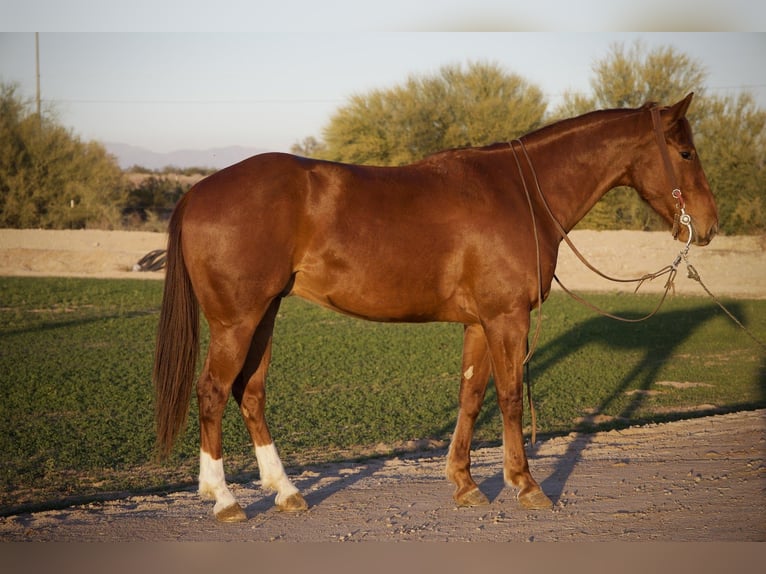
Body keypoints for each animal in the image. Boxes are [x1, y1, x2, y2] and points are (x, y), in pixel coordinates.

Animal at [153, 93, 718, 522]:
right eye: (686, 152)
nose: (709, 225)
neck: (520, 193)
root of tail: (198, 192)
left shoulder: (479, 323)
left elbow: (471, 398)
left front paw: (465, 484)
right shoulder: (506, 318)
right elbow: (510, 399)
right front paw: (526, 484)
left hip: (265, 315)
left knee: (250, 394)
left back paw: (286, 491)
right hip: (237, 321)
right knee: (212, 392)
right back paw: (224, 499)